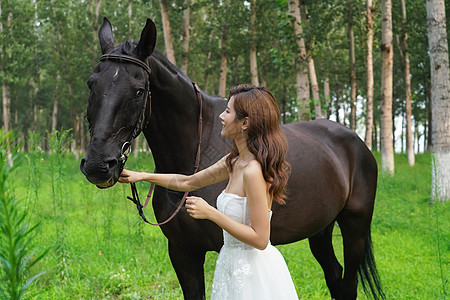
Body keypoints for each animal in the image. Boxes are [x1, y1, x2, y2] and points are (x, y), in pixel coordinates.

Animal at [80, 18, 384, 300]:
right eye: (91, 85)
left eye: (138, 90)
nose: (98, 165)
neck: (193, 150)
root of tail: (357, 142)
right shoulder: (182, 252)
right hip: (320, 230)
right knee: (335, 277)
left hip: (354, 228)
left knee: (348, 284)